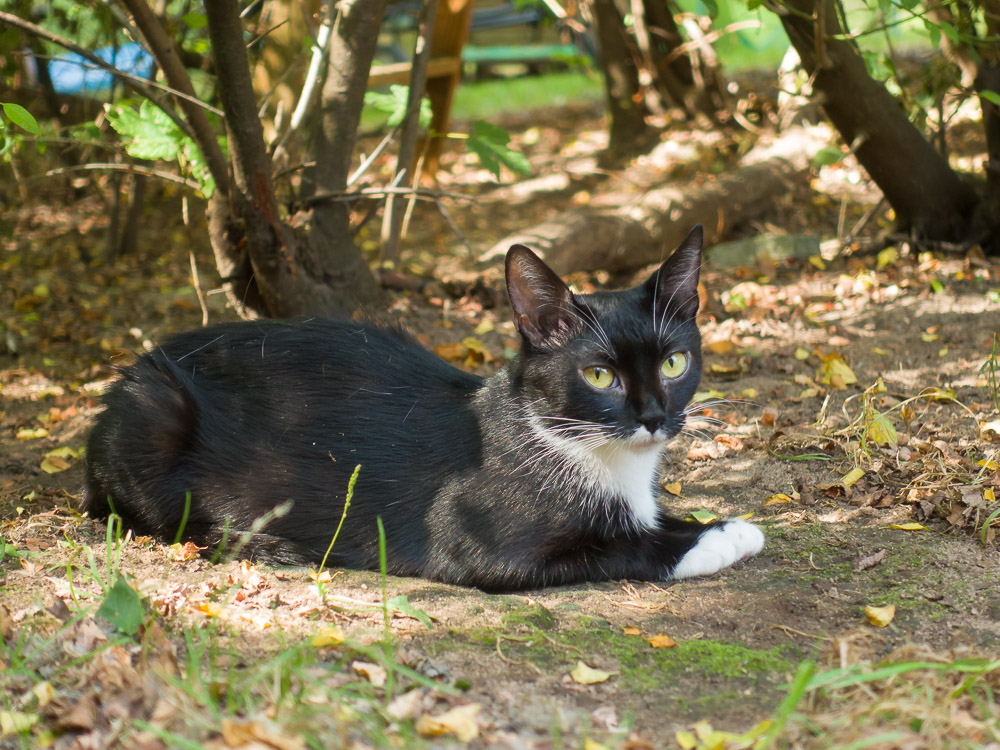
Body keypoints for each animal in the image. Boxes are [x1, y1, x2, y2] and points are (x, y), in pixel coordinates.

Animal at [86, 226, 760, 592]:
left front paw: (717, 522)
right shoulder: (472, 541)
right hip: (155, 409)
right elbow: (617, 547)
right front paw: (712, 541)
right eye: (600, 375)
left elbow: (648, 521)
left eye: (674, 363)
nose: (653, 416)